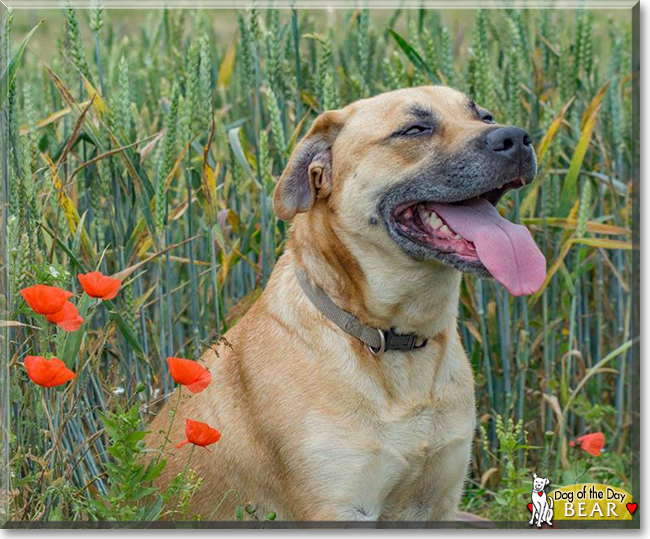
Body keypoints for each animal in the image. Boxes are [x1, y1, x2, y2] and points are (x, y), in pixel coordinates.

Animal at [146, 86, 540, 520]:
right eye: (415, 129)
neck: (393, 341)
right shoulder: (339, 504)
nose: (517, 138)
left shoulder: (439, 501)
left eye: (484, 116)